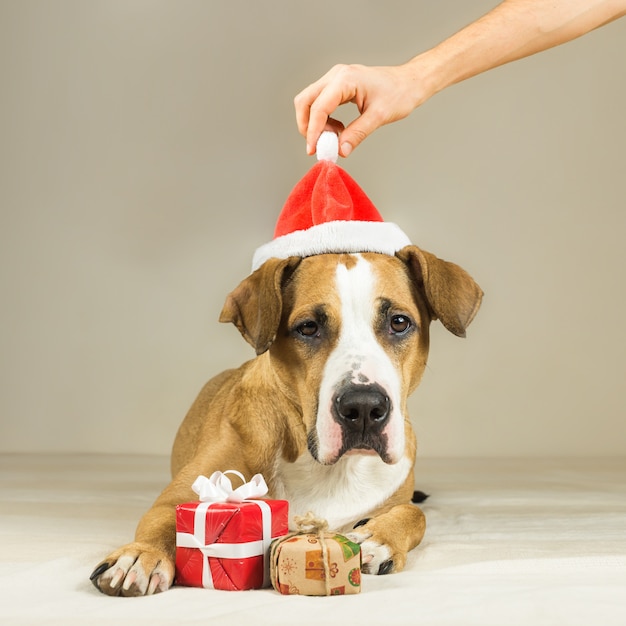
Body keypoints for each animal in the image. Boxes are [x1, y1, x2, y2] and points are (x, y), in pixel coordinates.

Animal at [88, 244, 480, 596]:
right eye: (307, 328)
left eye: (399, 322)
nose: (364, 408)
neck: (327, 468)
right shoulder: (181, 494)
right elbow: (163, 519)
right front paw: (141, 556)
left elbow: (416, 515)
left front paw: (377, 537)